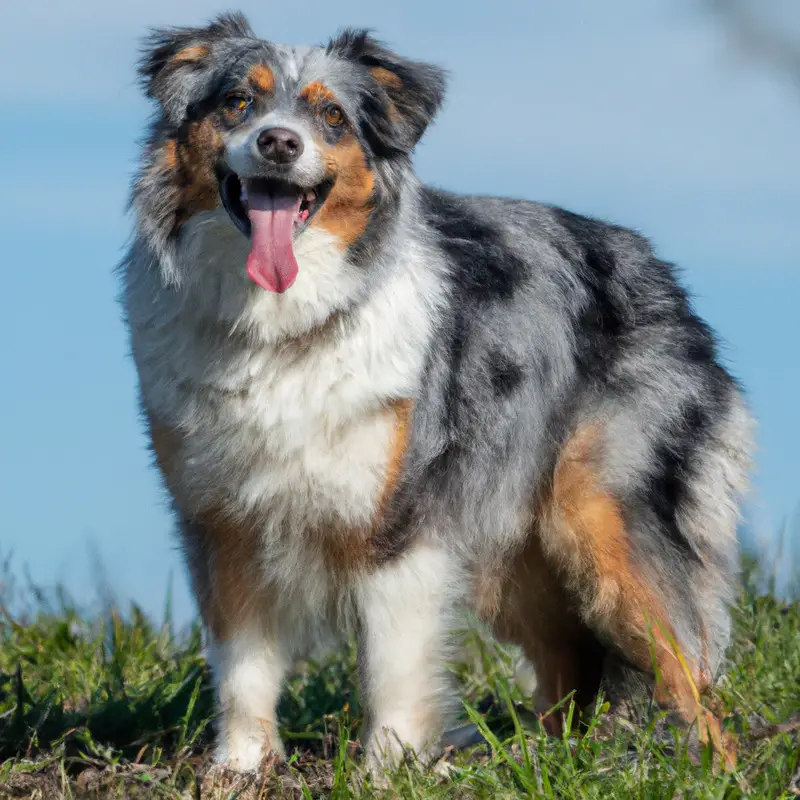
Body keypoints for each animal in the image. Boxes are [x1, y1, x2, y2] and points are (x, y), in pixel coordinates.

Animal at [119, 12, 752, 772]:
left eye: (332, 116)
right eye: (239, 102)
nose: (279, 142)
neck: (283, 324)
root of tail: (665, 279)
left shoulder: (400, 520)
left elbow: (392, 667)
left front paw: (386, 771)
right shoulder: (222, 520)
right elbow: (243, 665)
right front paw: (239, 768)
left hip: (602, 517)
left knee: (689, 679)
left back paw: (715, 772)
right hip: (512, 546)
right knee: (570, 663)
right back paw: (542, 766)